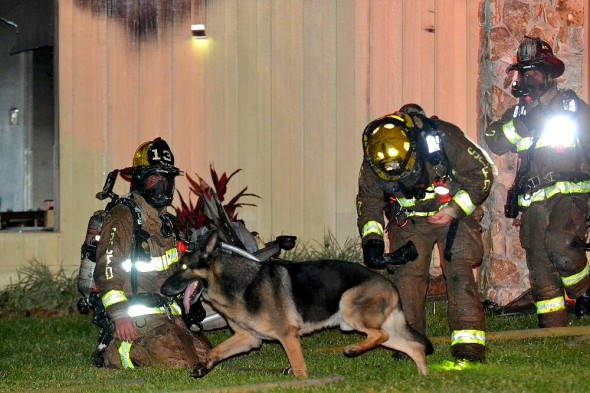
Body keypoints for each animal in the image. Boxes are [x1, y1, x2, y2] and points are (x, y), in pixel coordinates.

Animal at [162, 230, 434, 376]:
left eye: (184, 268)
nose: (163, 291)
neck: (236, 283)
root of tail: (390, 284)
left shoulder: (288, 336)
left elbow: (299, 368)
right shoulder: (249, 338)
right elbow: (216, 350)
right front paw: (203, 366)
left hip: (349, 308)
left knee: (381, 336)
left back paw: (354, 349)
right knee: (412, 347)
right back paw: (423, 378)